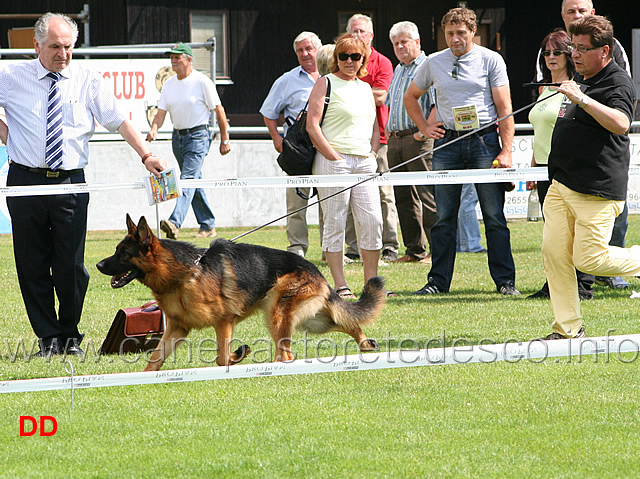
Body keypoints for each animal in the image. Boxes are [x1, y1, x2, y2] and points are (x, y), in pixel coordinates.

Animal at [95, 216, 384, 374]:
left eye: (123, 253)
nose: (97, 265)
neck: (184, 272)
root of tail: (315, 270)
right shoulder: (177, 329)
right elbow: (155, 359)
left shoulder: (224, 321)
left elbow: (222, 357)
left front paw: (238, 356)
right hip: (312, 320)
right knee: (347, 322)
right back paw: (364, 343)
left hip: (278, 315)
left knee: (287, 354)